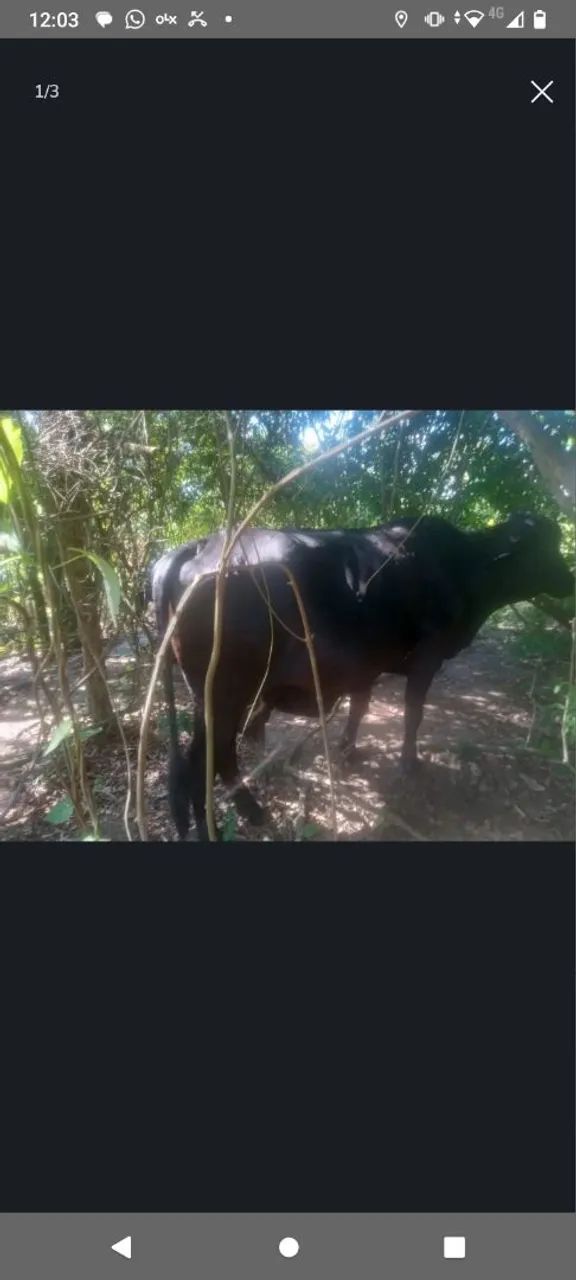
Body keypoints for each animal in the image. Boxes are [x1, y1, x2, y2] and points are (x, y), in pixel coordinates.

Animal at [152, 513, 573, 840]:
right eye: (543, 546)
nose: (569, 577)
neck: (460, 567)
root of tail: (198, 545)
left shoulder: (364, 667)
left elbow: (359, 706)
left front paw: (347, 751)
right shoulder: (428, 657)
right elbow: (413, 712)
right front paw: (409, 763)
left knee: (216, 756)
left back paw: (247, 812)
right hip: (224, 692)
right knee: (205, 763)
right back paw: (219, 825)